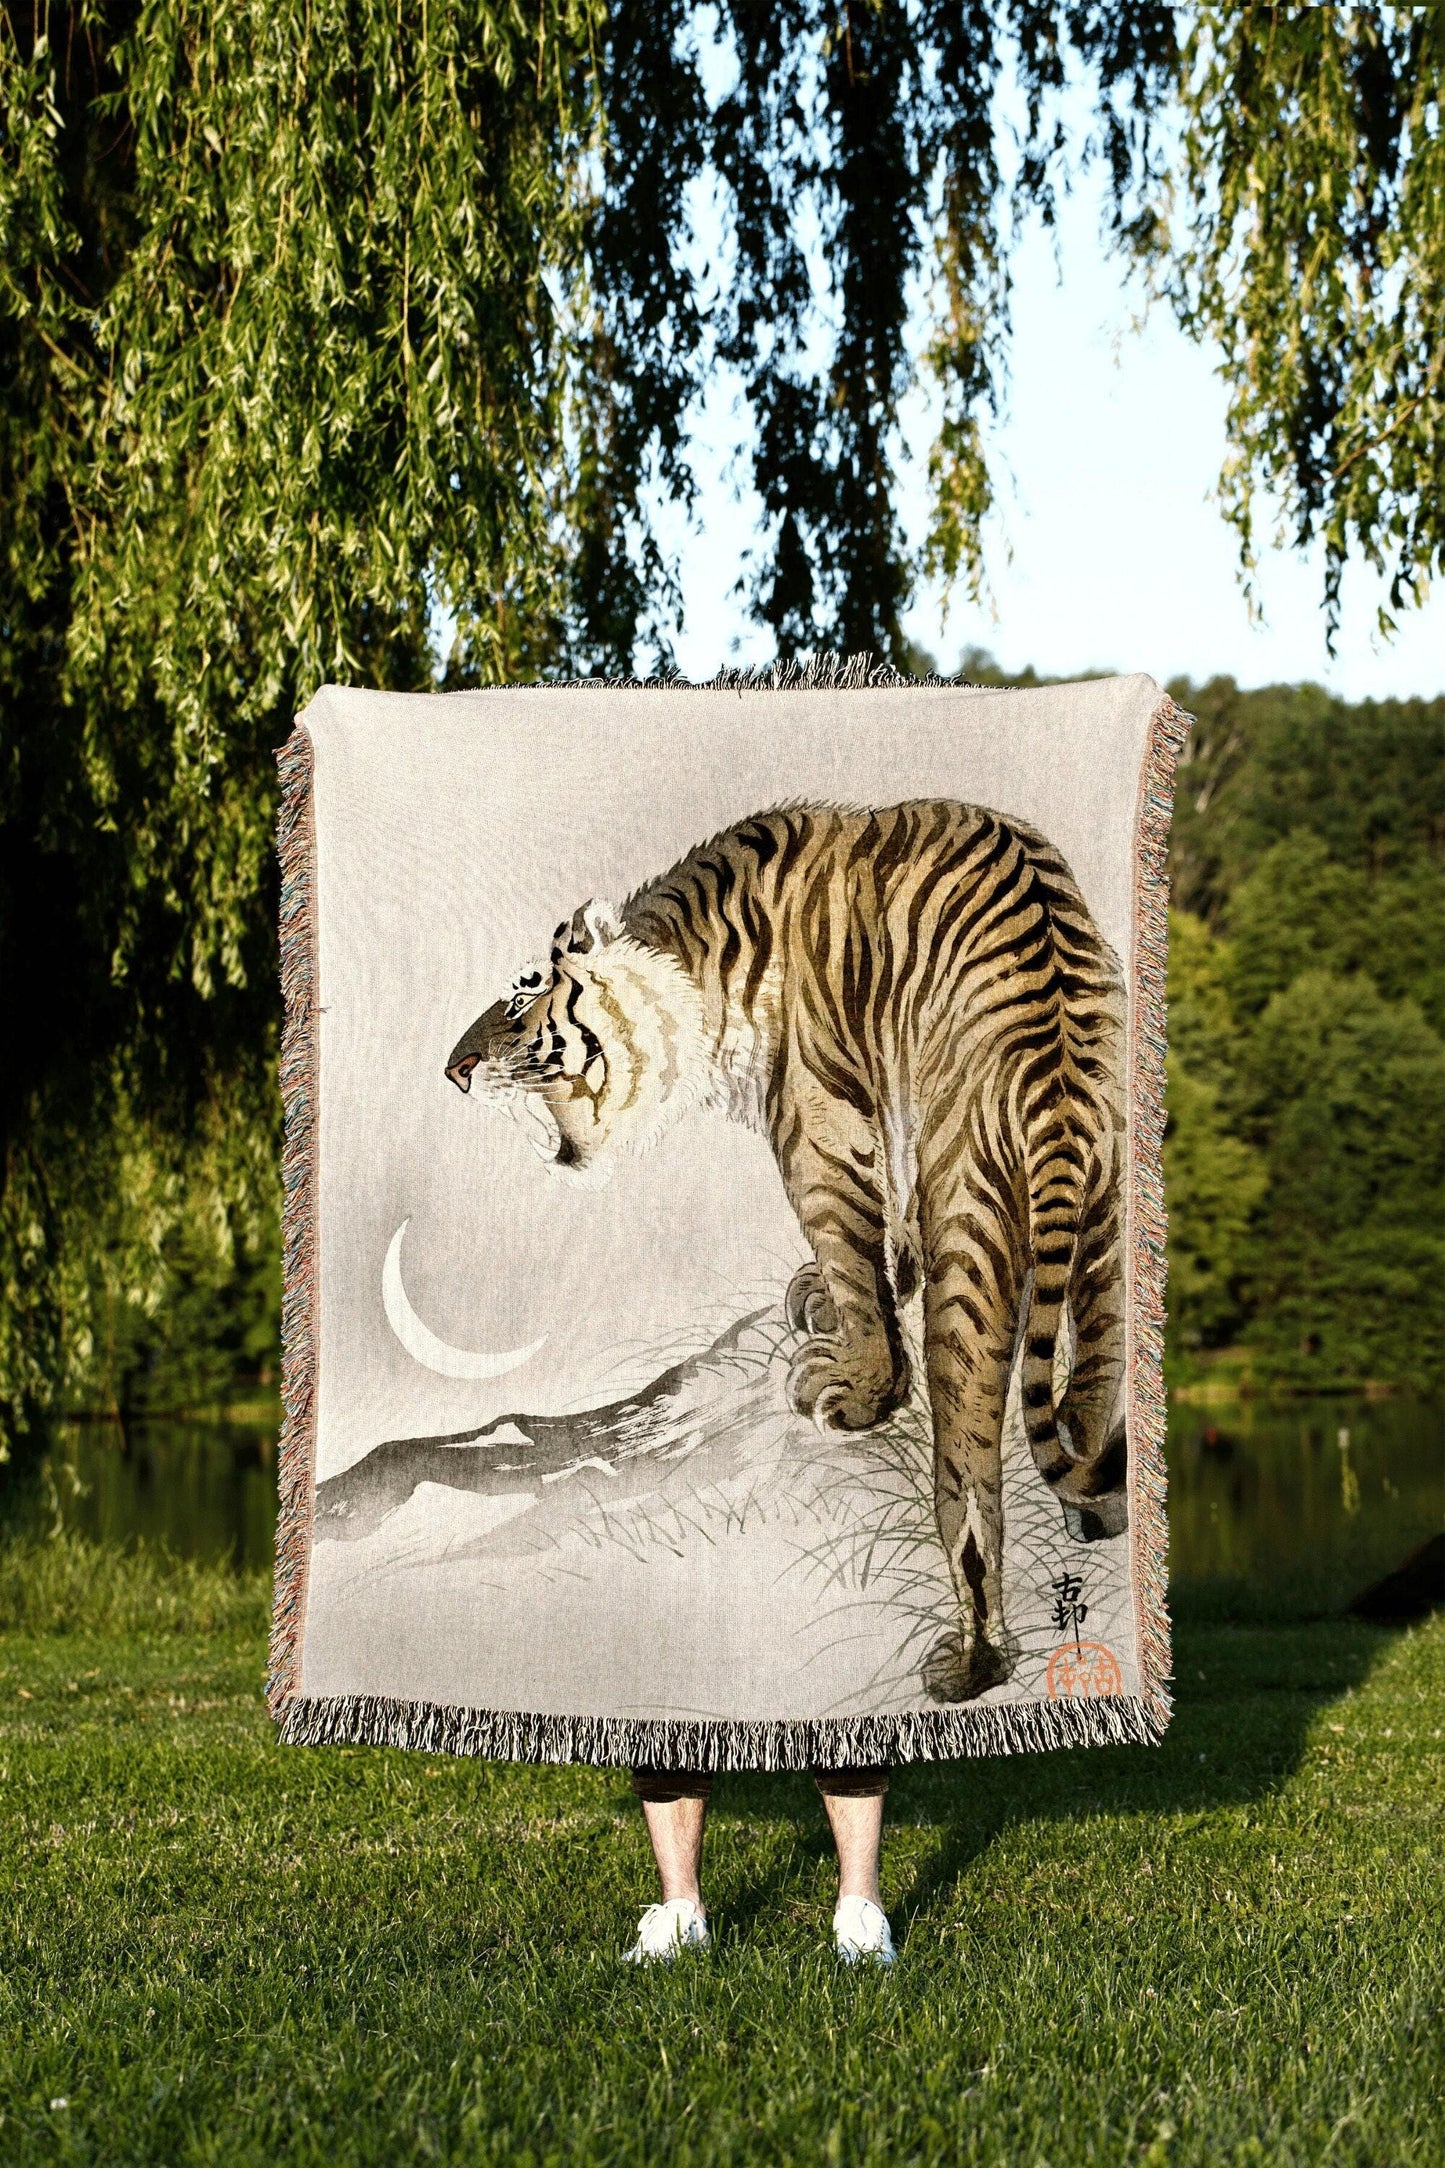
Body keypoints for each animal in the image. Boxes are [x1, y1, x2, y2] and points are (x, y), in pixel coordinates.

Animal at [445, 801, 1129, 1704]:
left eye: (525, 994)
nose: (453, 1069)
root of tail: (1058, 1074)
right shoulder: (885, 1098)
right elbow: (882, 1226)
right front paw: (846, 1290)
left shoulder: (815, 1123)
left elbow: (848, 1245)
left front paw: (857, 1385)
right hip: (1110, 1228)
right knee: (1087, 1391)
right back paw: (1096, 1515)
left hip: (972, 1222)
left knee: (970, 1475)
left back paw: (971, 1660)